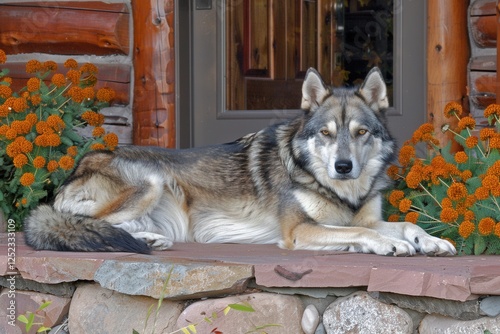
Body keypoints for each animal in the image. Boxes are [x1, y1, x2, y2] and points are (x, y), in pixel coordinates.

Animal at [24, 67, 458, 256]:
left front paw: (431, 240)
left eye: (361, 132)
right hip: (151, 180)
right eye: (326, 133)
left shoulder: (364, 218)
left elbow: (404, 224)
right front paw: (387, 245)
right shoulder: (300, 231)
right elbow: (363, 233)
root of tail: (79, 166)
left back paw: (150, 240)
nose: (343, 166)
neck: (340, 190)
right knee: (88, 224)